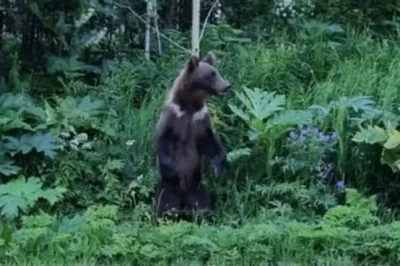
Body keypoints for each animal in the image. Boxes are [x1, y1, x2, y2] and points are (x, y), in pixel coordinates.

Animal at [153, 51, 233, 221]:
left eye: (216, 72)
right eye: (212, 74)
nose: (227, 85)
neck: (190, 104)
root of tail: (183, 200)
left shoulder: (200, 119)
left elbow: (210, 142)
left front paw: (217, 169)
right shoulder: (172, 116)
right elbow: (162, 140)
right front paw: (171, 171)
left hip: (198, 188)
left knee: (203, 205)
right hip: (167, 190)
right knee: (162, 208)